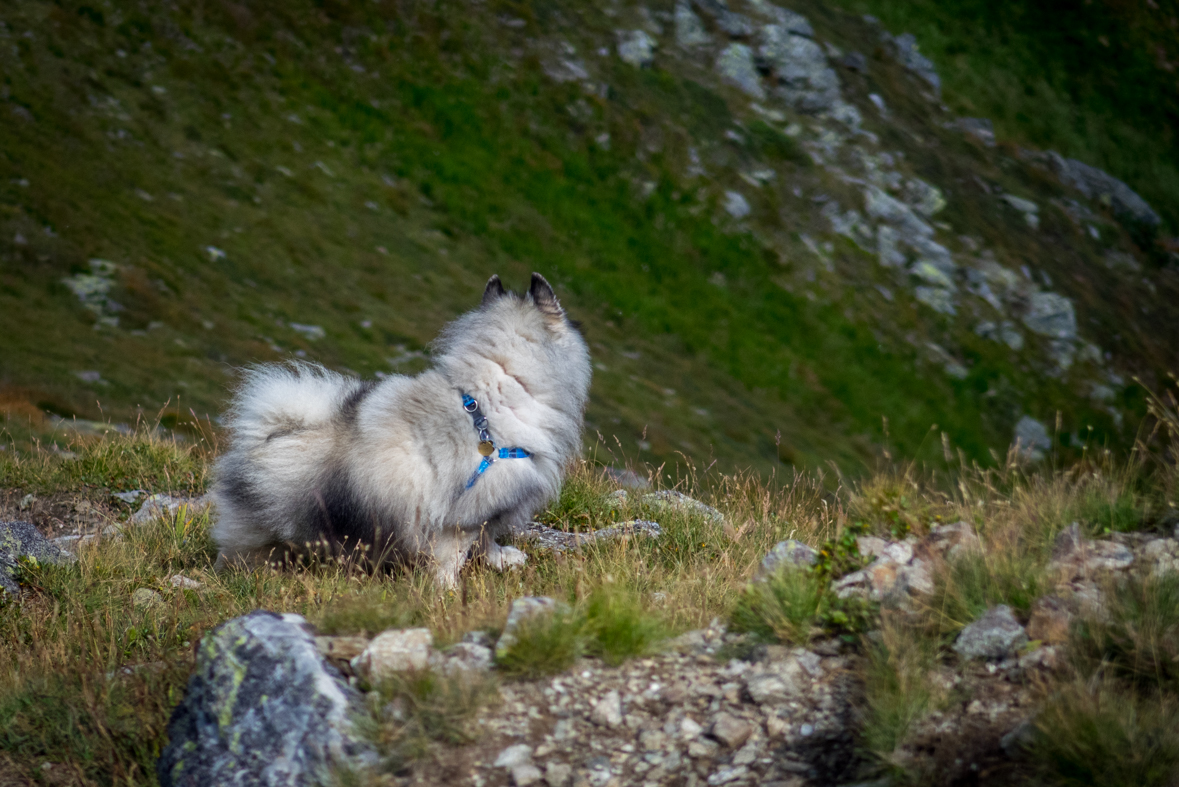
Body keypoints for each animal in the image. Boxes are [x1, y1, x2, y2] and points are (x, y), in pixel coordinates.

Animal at [211, 273, 589, 586]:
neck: (488, 401)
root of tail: (271, 432)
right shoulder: (464, 514)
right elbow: (455, 555)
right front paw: (449, 593)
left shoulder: (489, 504)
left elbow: (487, 538)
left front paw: (502, 559)